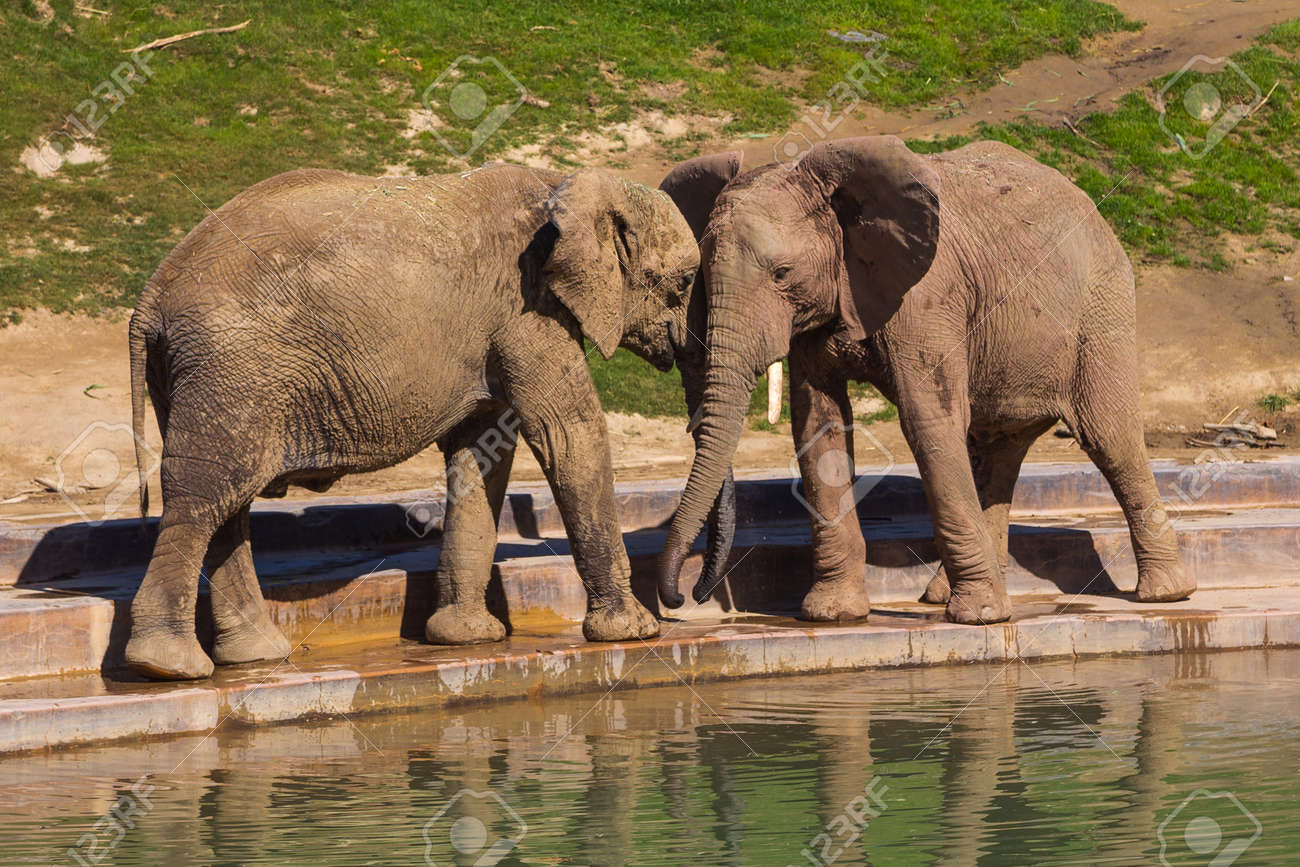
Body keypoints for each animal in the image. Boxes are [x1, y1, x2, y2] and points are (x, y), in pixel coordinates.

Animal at [125, 163, 699, 679]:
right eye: (685, 280)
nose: (681, 603)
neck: (564, 182)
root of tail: (150, 299)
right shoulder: (527, 307)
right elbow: (568, 433)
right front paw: (634, 632)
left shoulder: (502, 321)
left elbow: (481, 451)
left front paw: (466, 638)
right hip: (231, 367)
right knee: (204, 494)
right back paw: (167, 666)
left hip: (207, 377)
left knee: (229, 502)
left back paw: (255, 657)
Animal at [656, 136, 1195, 626]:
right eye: (700, 280)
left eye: (782, 273)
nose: (686, 598)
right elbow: (819, 427)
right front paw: (833, 615)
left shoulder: (927, 297)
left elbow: (927, 422)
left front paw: (978, 619)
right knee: (996, 449)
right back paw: (942, 596)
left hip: (1101, 307)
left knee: (1109, 438)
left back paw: (1166, 594)